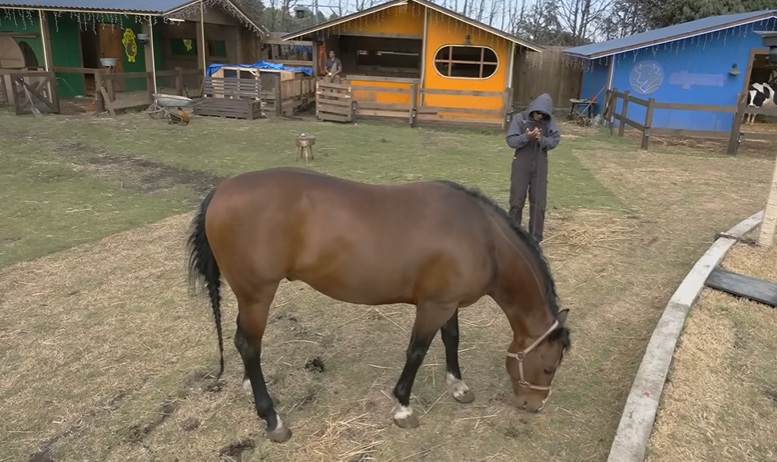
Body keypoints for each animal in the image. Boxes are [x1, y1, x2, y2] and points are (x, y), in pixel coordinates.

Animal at [186, 166, 571, 443]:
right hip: (258, 293)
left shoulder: (448, 303)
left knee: (244, 341)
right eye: (548, 367)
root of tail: (221, 191)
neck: (482, 238)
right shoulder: (433, 306)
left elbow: (451, 340)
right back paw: (272, 419)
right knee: (249, 345)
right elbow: (416, 352)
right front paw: (403, 407)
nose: (534, 406)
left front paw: (458, 386)